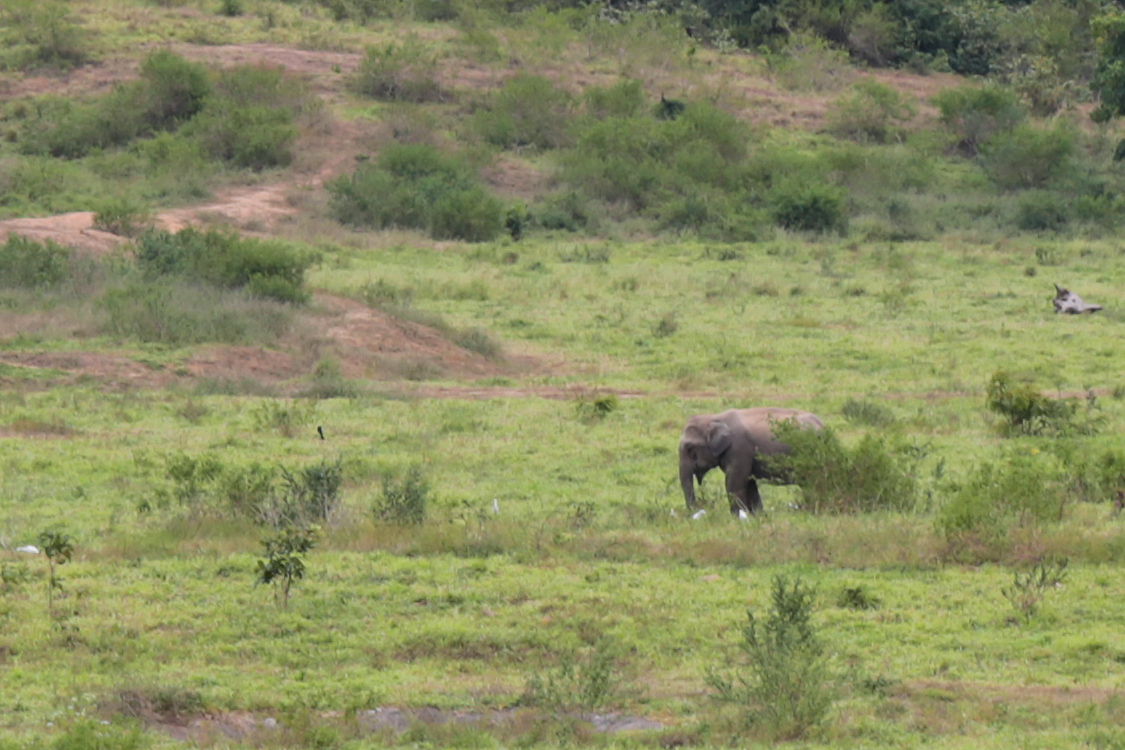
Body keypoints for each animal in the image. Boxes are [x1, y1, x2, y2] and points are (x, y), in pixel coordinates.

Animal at [675, 411, 828, 517]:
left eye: (689, 448)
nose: (698, 511)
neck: (714, 417)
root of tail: (823, 426)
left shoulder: (739, 449)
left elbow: (734, 483)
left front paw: (736, 517)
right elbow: (749, 483)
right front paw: (758, 516)